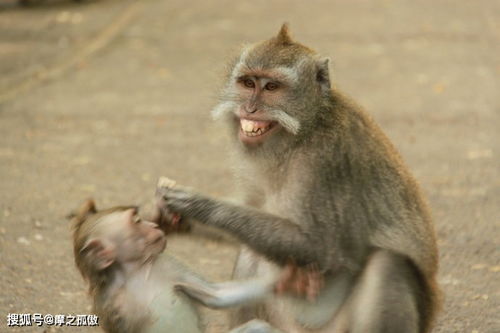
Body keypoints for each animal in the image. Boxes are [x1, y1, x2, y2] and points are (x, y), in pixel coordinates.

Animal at [69, 196, 286, 330]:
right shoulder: (108, 304)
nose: (154, 225)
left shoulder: (168, 265)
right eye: (137, 221)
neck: (135, 273)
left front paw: (287, 279)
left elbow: (216, 295)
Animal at [158, 24, 440, 332]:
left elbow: (320, 248)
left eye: (272, 87)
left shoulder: (325, 159)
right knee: (252, 248)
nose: (250, 109)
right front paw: (172, 218)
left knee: (388, 264)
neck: (304, 130)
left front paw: (200, 205)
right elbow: (253, 207)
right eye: (248, 83)